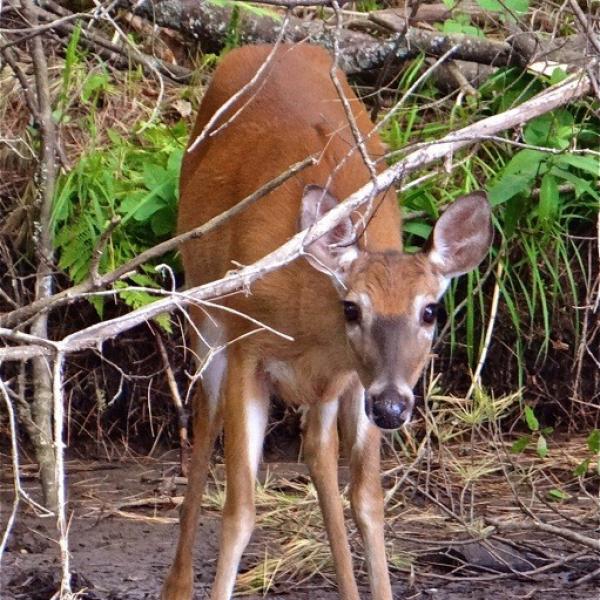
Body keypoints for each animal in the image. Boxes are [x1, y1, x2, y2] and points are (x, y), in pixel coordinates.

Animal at [163, 43, 492, 600]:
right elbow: (239, 511)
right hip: (205, 308)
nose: (393, 406)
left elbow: (367, 501)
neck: (307, 325)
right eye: (352, 307)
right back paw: (177, 586)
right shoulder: (248, 348)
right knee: (204, 423)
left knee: (318, 454)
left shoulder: (351, 379)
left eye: (430, 310)